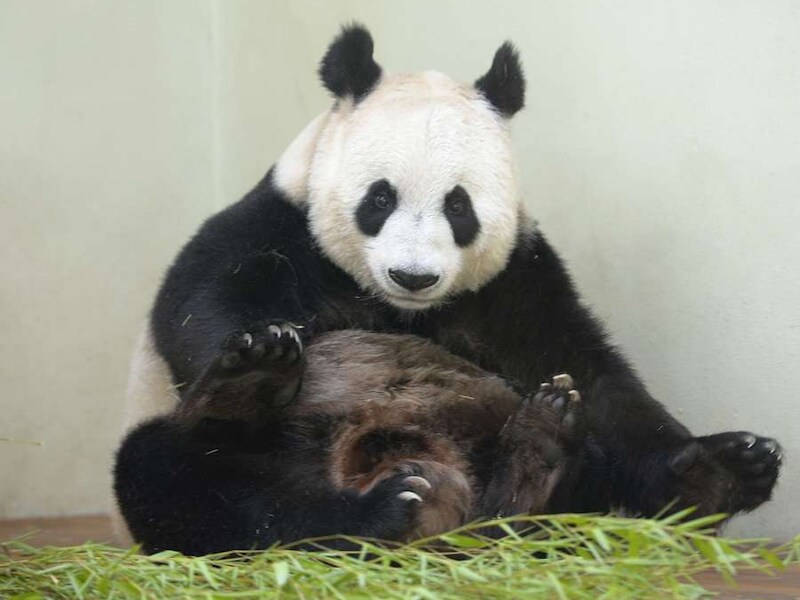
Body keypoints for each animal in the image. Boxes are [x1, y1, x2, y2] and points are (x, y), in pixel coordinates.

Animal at [114, 24, 782, 555]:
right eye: (379, 198)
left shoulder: (511, 282)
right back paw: (357, 502)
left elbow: (591, 375)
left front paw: (718, 470)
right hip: (245, 461)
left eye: (458, 206)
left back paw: (536, 469)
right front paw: (260, 353)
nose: (414, 276)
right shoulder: (279, 225)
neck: (401, 310)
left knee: (574, 472)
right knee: (190, 482)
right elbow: (201, 307)